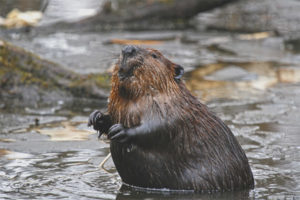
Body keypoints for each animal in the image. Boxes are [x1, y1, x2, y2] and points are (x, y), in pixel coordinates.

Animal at [88, 45, 254, 192]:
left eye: (155, 55)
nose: (128, 49)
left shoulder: (173, 108)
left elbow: (159, 127)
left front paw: (120, 130)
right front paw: (96, 117)